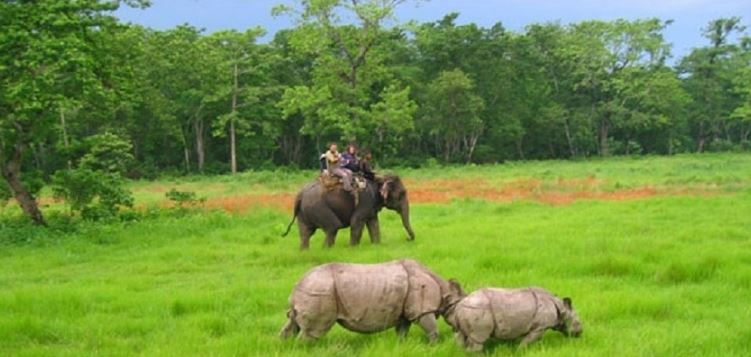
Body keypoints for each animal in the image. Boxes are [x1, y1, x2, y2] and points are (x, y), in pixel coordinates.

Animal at [278, 258, 464, 342]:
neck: (446, 293)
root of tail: (298, 285)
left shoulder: (405, 310)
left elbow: (402, 330)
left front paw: (401, 344)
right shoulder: (422, 309)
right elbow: (432, 329)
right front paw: (434, 345)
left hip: (311, 289)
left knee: (293, 322)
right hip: (320, 290)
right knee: (313, 331)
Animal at [282, 174, 414, 249]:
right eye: (402, 194)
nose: (407, 239)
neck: (378, 179)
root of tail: (300, 194)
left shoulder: (371, 206)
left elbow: (374, 224)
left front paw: (376, 245)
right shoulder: (365, 201)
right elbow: (356, 222)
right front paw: (352, 248)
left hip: (303, 212)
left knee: (306, 233)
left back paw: (305, 251)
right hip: (318, 207)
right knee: (332, 227)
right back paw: (325, 250)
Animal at [446, 286, 580, 350]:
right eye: (577, 323)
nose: (579, 333)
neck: (560, 308)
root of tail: (459, 306)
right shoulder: (540, 327)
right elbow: (528, 341)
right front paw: (521, 350)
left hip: (466, 311)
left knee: (460, 335)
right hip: (477, 311)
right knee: (478, 339)